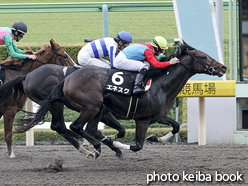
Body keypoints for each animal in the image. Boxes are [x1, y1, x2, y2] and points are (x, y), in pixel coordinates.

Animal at [14, 41, 227, 158]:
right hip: (89, 106)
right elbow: (137, 144)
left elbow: (174, 126)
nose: (223, 67)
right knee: (72, 126)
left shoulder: (158, 116)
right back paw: (94, 147)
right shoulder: (142, 119)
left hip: (96, 108)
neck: (160, 85)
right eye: (203, 57)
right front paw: (115, 143)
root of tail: (68, 79)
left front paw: (154, 137)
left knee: (78, 128)